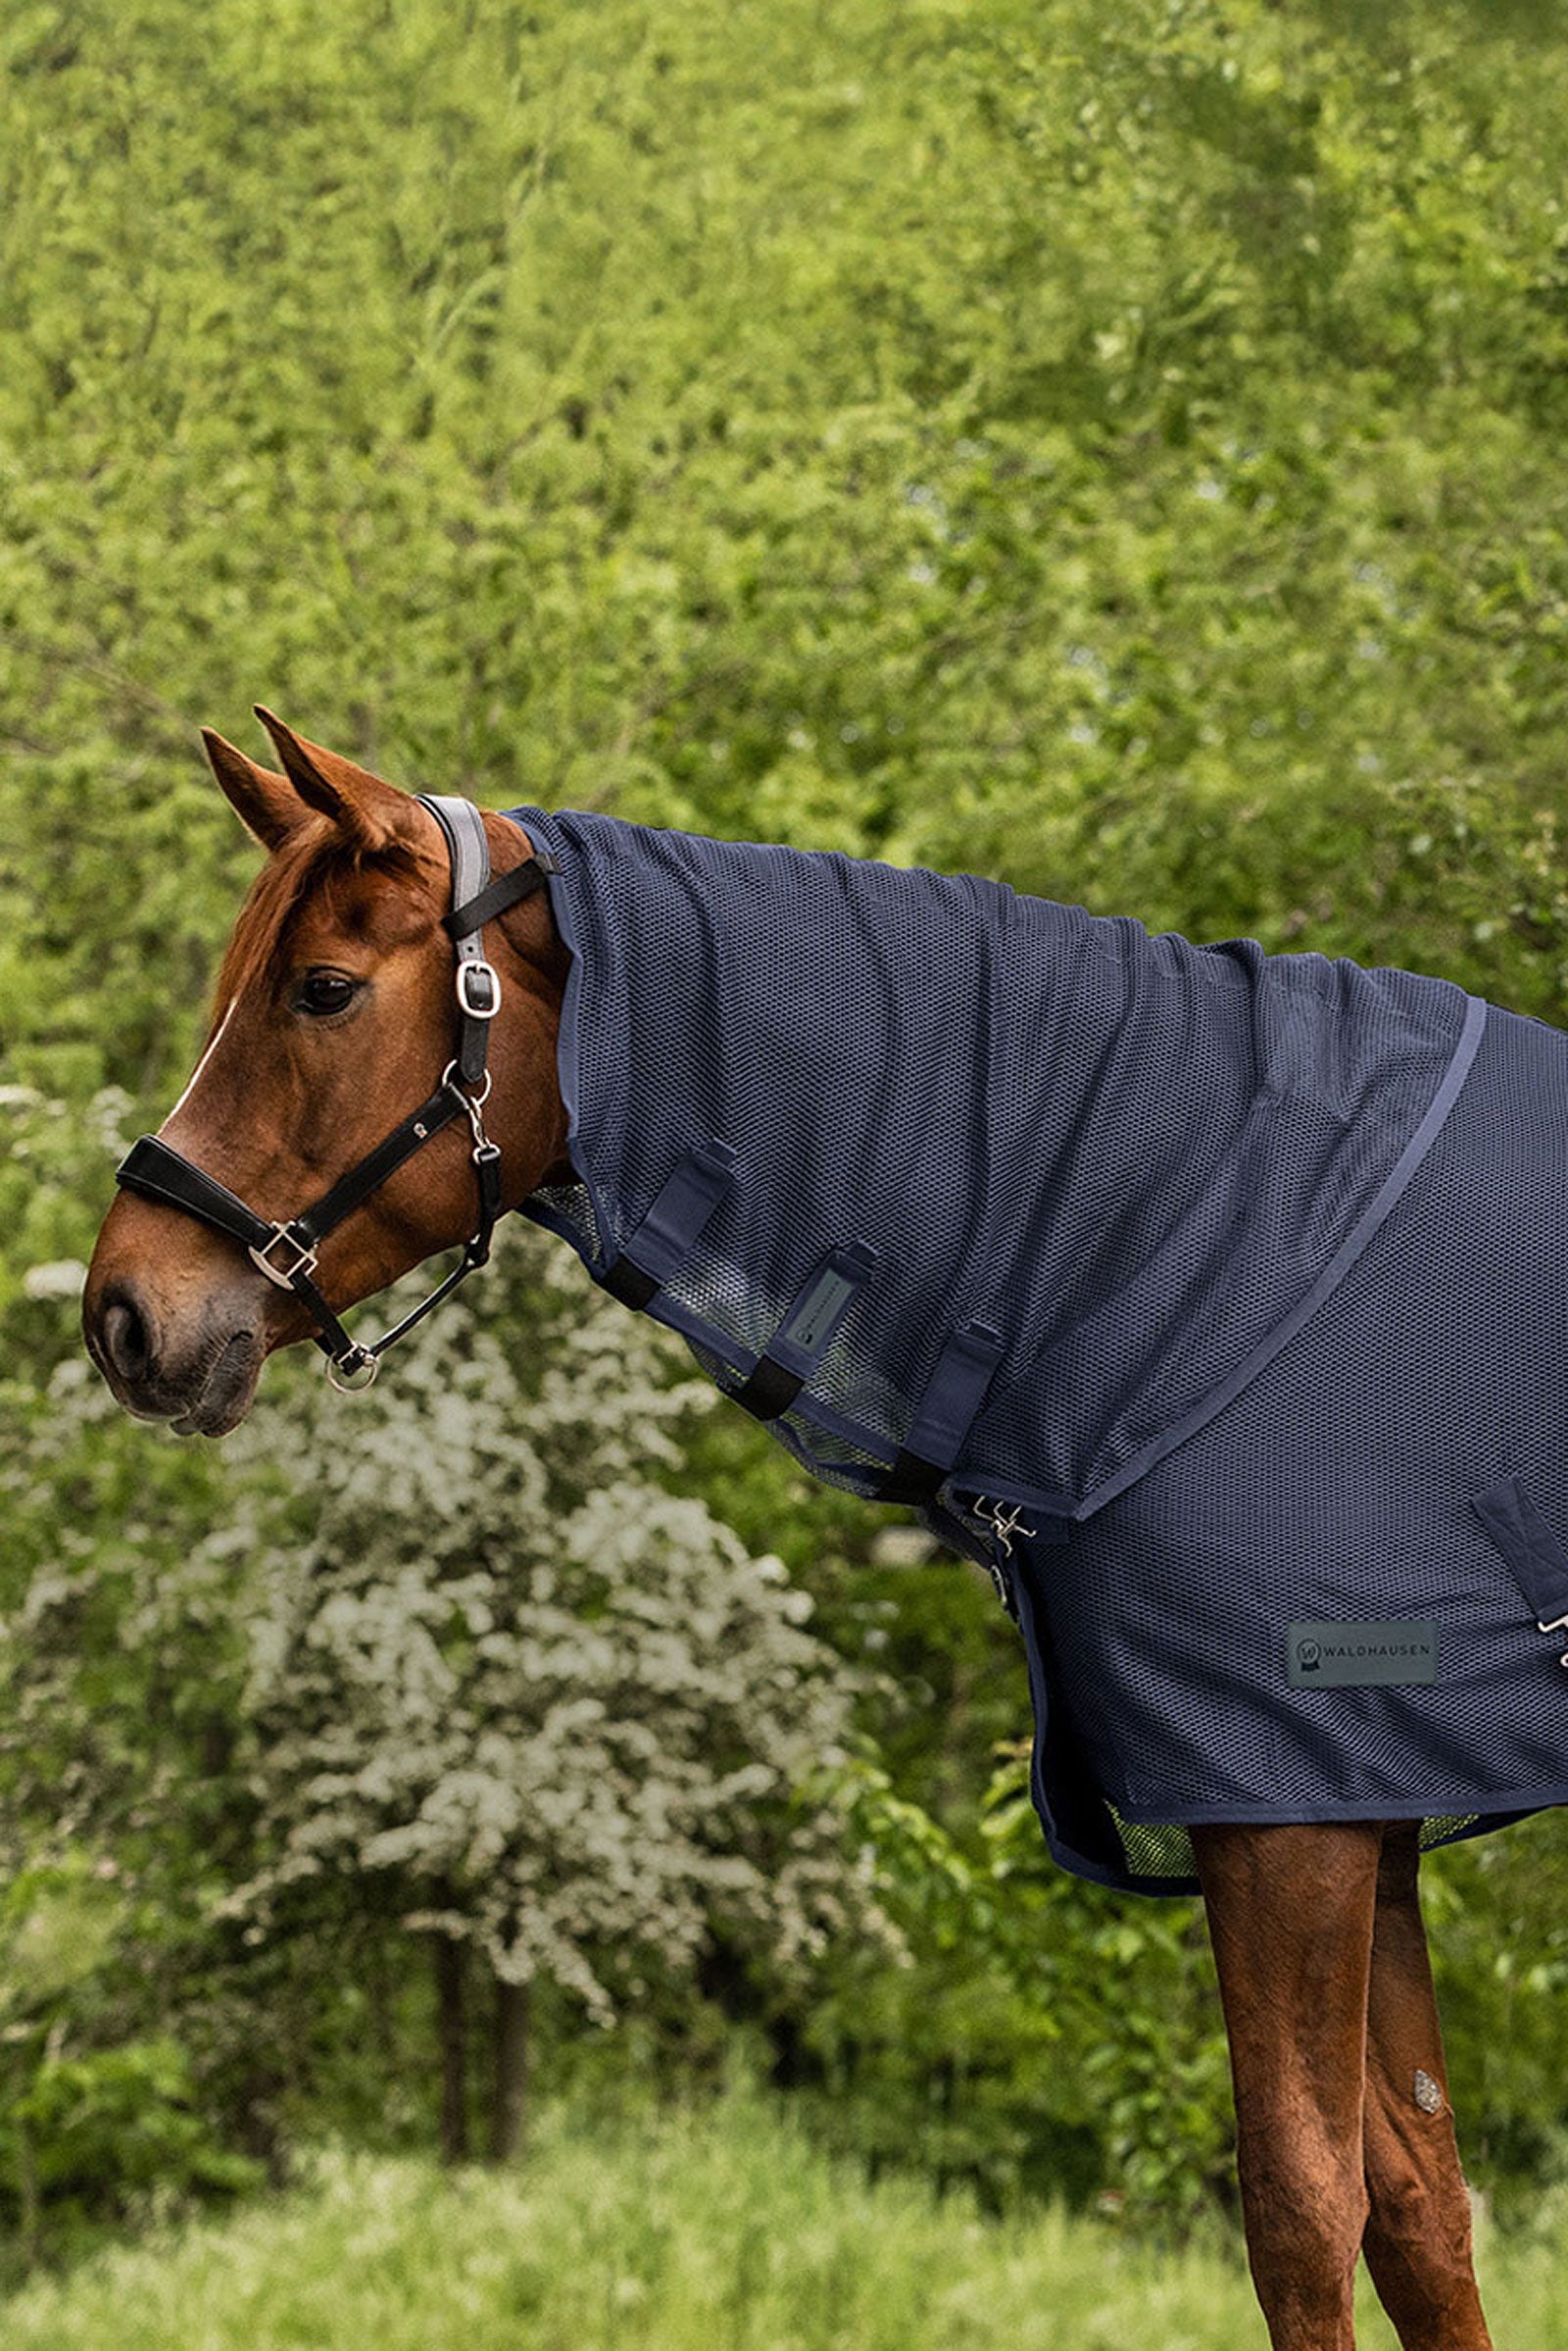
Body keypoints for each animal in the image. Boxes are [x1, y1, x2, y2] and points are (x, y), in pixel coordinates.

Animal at [82, 709, 1511, 2351]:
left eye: (319, 988)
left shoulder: (1289, 1809)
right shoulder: (1363, 1798)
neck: (1202, 1250)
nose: (122, 1313)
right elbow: (1418, 2200)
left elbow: (1303, 2205)